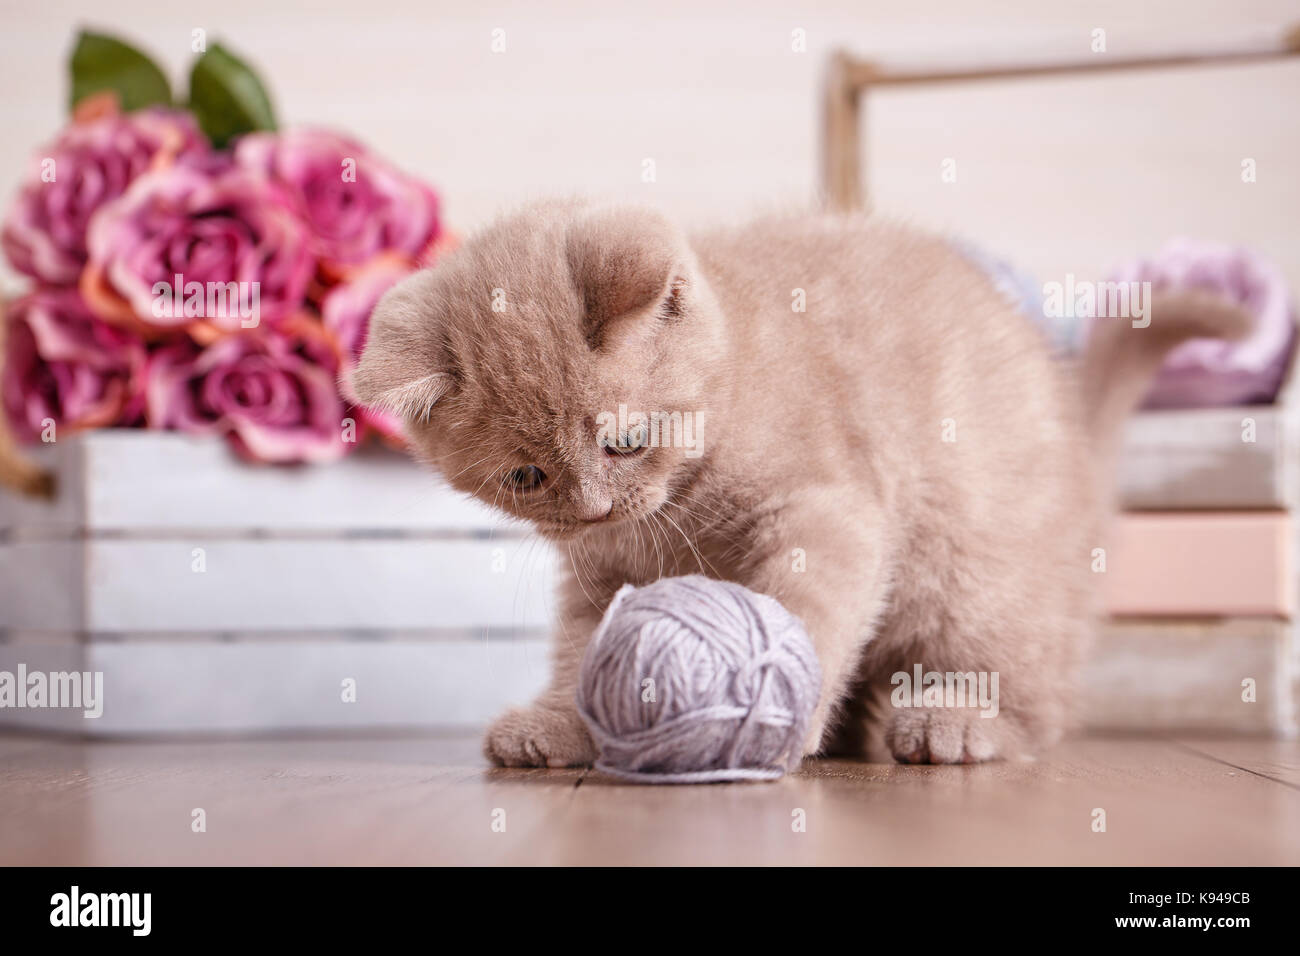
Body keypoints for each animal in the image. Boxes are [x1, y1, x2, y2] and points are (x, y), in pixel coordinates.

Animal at [353, 200, 1248, 764]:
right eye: (528, 475)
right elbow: (584, 649)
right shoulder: (598, 572)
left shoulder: (830, 507)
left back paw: (959, 723)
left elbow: (803, 610)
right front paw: (558, 725)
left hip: (975, 561)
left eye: (626, 441)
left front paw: (771, 720)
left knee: (1032, 691)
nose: (596, 507)